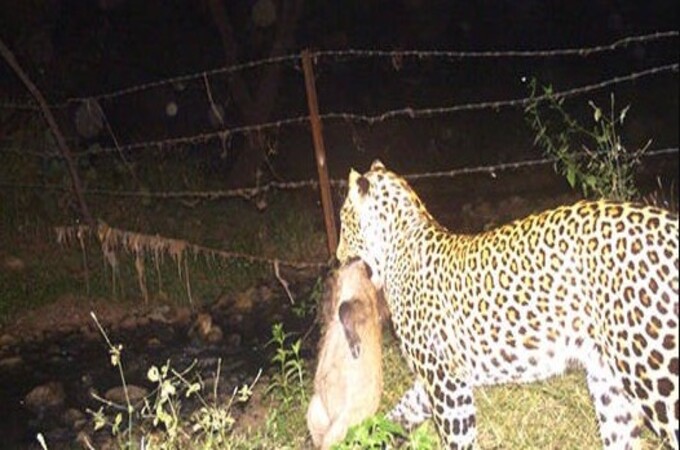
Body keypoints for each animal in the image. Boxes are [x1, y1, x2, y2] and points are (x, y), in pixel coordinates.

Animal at [336, 160, 679, 449]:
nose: (337, 257)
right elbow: (403, 410)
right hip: (609, 380)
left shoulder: (446, 381)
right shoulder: (441, 375)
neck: (396, 247)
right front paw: (369, 435)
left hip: (655, 374)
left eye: (343, 222)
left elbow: (457, 439)